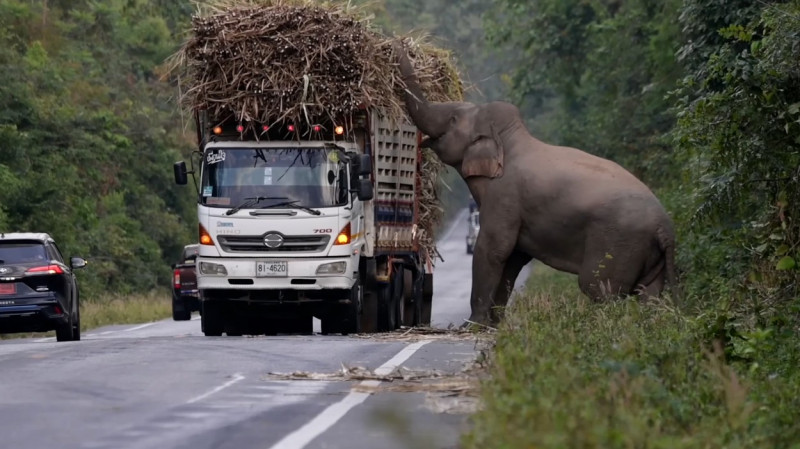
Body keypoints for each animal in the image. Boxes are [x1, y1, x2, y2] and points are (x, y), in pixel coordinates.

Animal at [394, 43, 676, 326]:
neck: (509, 139)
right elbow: (514, 257)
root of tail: (665, 227)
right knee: (649, 295)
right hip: (649, 256)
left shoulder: (505, 196)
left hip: (618, 243)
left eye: (453, 119)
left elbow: (493, 248)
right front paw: (493, 325)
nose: (400, 45)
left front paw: (472, 325)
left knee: (599, 288)